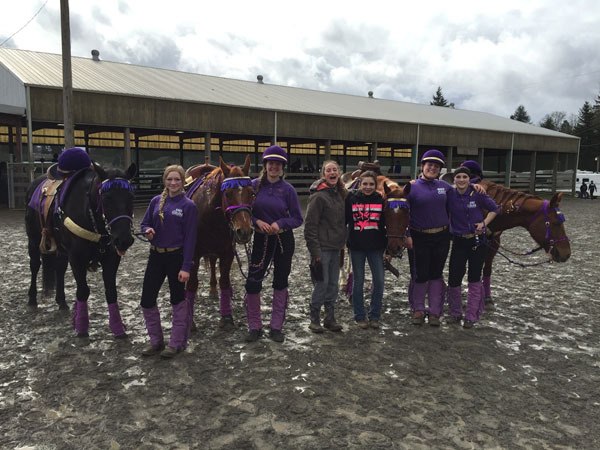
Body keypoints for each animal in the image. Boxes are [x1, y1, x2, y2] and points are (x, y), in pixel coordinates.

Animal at [25, 163, 136, 338]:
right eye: (106, 198)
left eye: (131, 197)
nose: (124, 239)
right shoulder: (77, 258)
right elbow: (83, 290)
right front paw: (82, 327)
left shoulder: (111, 258)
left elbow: (111, 291)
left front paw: (118, 328)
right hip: (34, 240)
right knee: (35, 265)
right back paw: (32, 299)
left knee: (59, 269)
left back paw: (62, 301)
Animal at [185, 156, 255, 328]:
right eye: (228, 194)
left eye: (251, 193)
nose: (244, 231)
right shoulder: (193, 255)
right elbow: (192, 284)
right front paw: (189, 321)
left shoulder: (227, 252)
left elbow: (224, 280)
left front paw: (227, 317)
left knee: (212, 264)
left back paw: (213, 288)